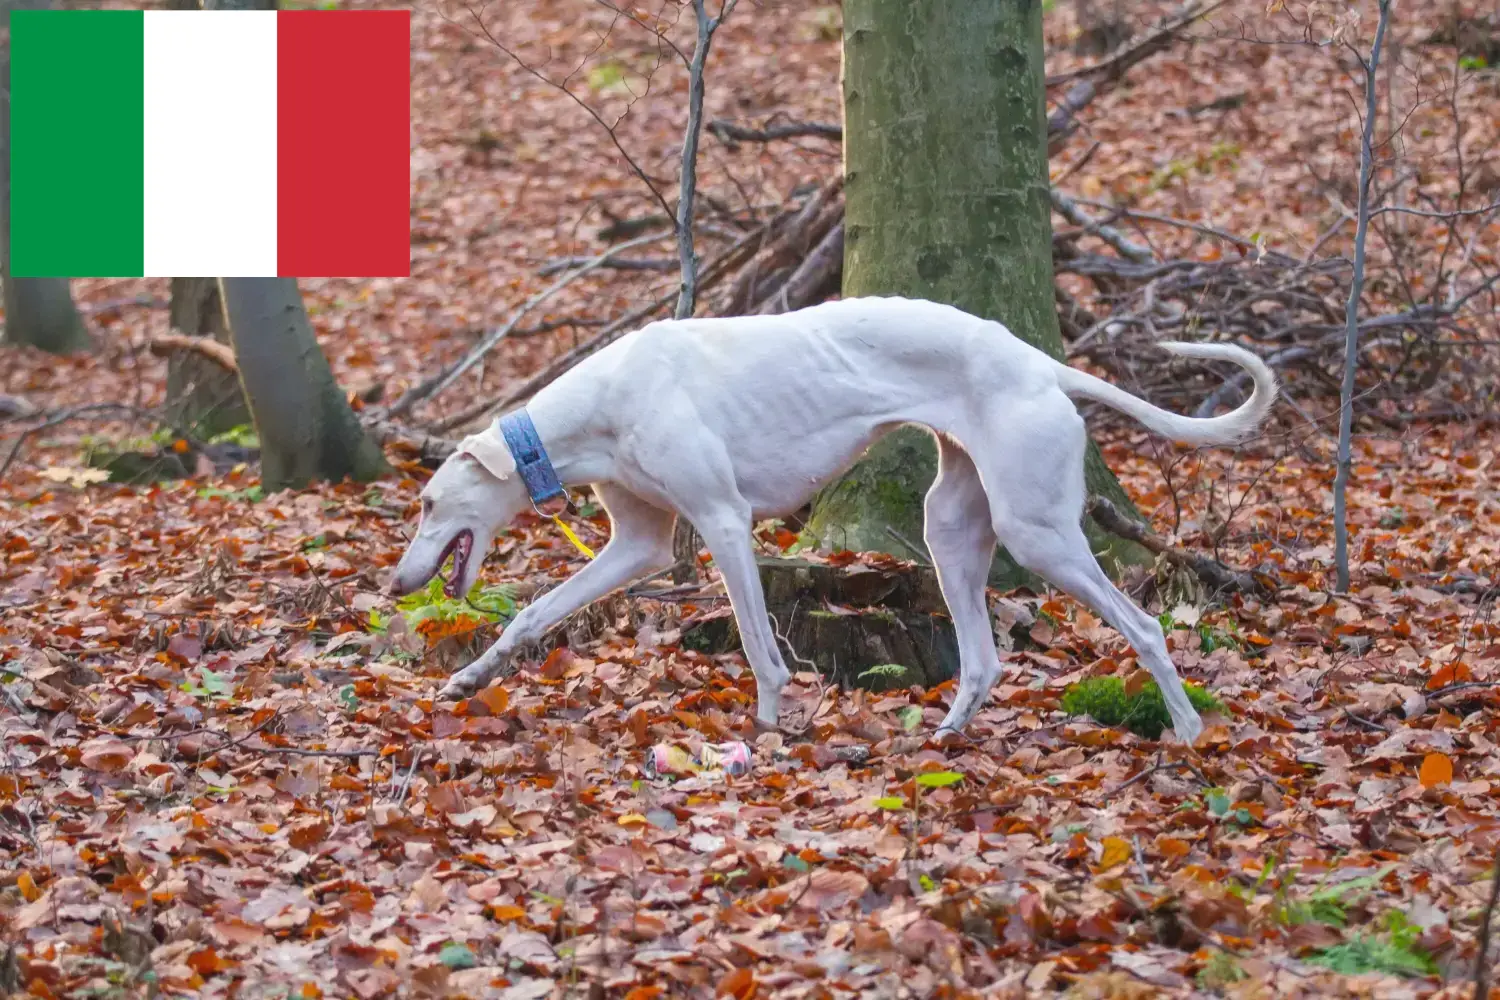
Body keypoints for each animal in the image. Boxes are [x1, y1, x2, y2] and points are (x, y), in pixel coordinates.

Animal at [390, 296, 1278, 743]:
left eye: (429, 503)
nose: (398, 584)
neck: (602, 405)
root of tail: (1037, 360)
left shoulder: (723, 520)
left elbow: (758, 644)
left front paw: (767, 726)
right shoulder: (637, 545)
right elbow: (533, 612)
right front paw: (469, 678)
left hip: (1040, 533)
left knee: (1147, 626)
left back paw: (1187, 728)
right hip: (951, 531)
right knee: (985, 658)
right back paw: (944, 734)